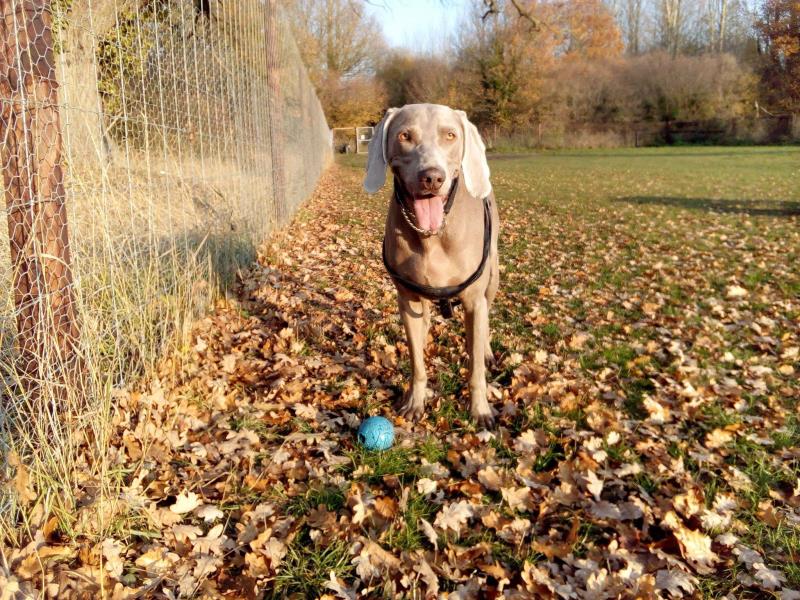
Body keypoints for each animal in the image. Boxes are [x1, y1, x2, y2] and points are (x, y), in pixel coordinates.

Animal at [364, 105, 500, 428]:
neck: (432, 236)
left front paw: (480, 409)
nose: (432, 178)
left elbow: (475, 367)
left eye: (450, 135)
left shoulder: (474, 300)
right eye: (404, 136)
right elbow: (417, 361)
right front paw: (415, 401)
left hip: (493, 276)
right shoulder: (408, 299)